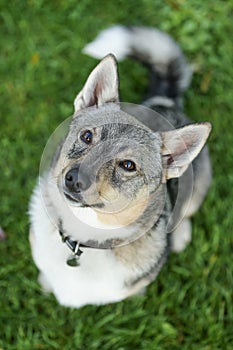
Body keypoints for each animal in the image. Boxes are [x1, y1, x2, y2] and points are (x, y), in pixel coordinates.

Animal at [29, 26, 211, 308]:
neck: (83, 234)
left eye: (128, 165)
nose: (74, 179)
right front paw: (46, 284)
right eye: (87, 136)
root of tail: (165, 102)